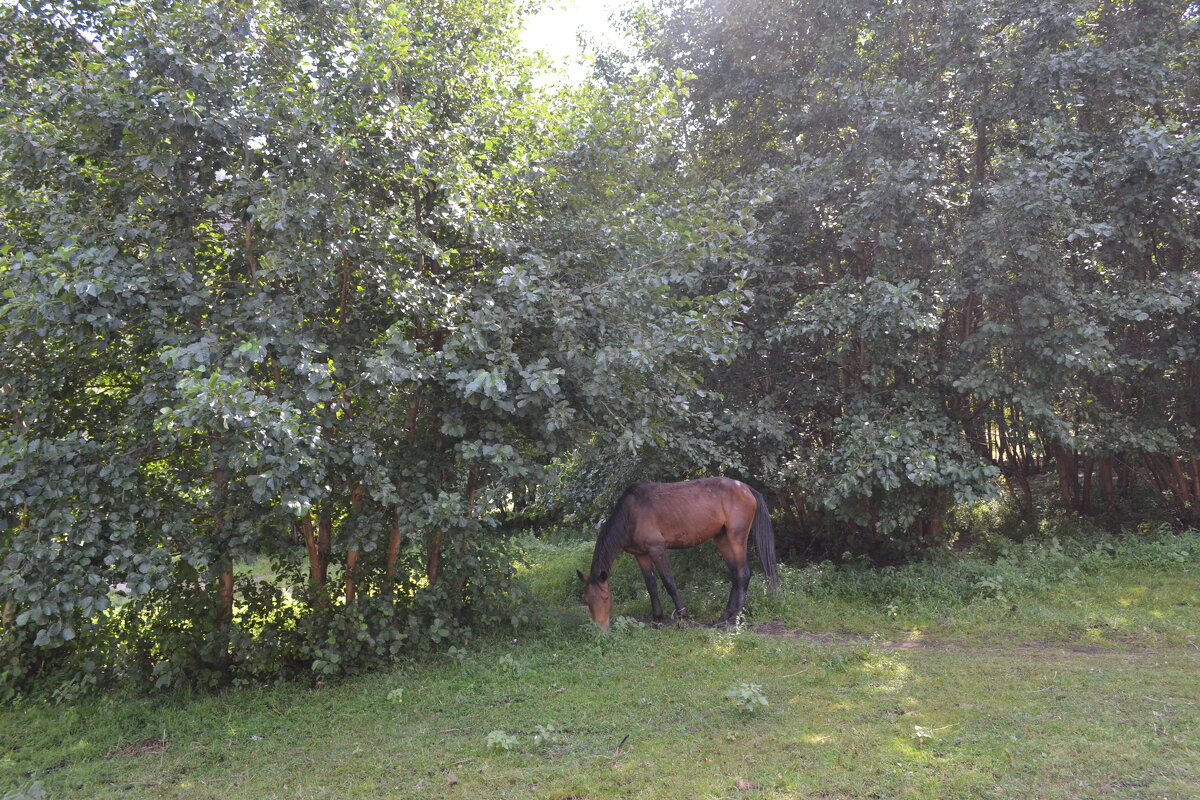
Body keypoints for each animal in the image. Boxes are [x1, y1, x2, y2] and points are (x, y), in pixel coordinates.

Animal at [578, 479, 777, 633]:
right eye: (586, 600)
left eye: (605, 598)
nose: (601, 631)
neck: (629, 514)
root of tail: (746, 488)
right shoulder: (641, 555)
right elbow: (651, 586)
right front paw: (657, 618)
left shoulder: (657, 549)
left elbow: (669, 583)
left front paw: (683, 616)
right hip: (722, 538)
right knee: (735, 574)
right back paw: (724, 617)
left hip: (737, 537)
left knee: (743, 574)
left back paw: (734, 619)